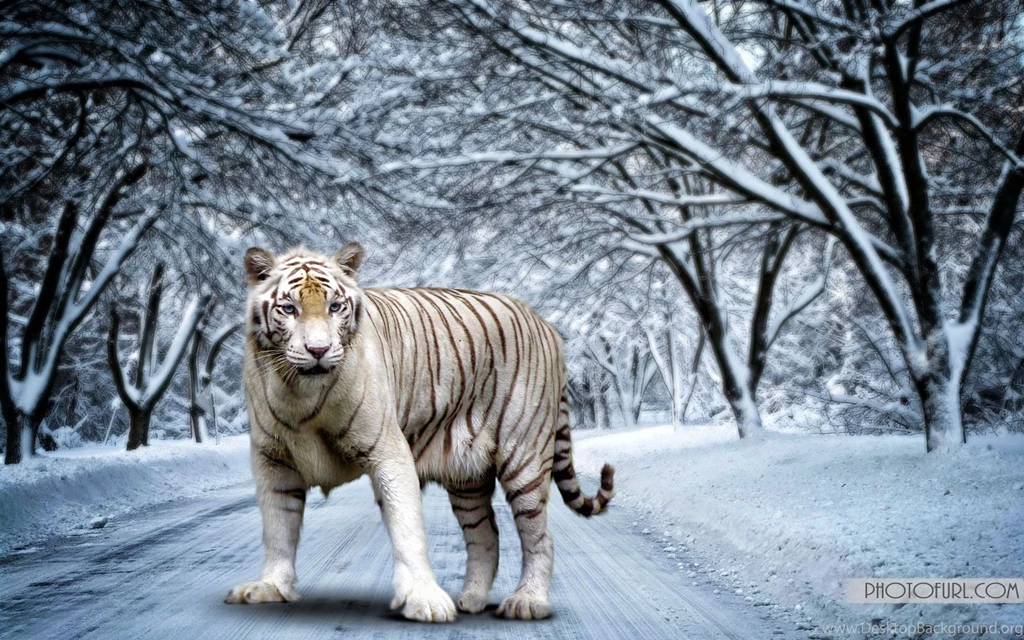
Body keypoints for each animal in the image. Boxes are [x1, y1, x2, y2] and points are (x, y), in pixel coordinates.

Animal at [225, 243, 614, 622]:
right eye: (289, 309)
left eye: (335, 306)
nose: (318, 350)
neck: (300, 394)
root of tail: (545, 322)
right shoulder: (273, 461)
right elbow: (278, 528)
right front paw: (270, 586)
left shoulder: (388, 451)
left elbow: (407, 529)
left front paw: (425, 601)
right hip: (467, 477)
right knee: (486, 534)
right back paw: (472, 599)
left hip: (524, 458)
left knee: (540, 536)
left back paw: (528, 602)